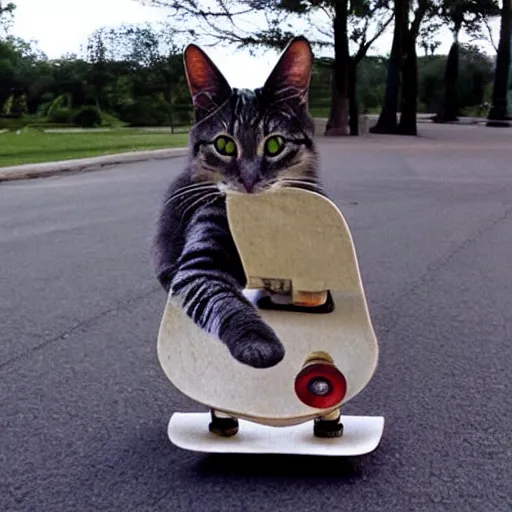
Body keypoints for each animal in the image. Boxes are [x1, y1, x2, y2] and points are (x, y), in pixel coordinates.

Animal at [151, 37, 324, 372]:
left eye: (275, 144)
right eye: (224, 145)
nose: (248, 180)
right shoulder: (200, 265)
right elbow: (227, 302)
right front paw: (259, 344)